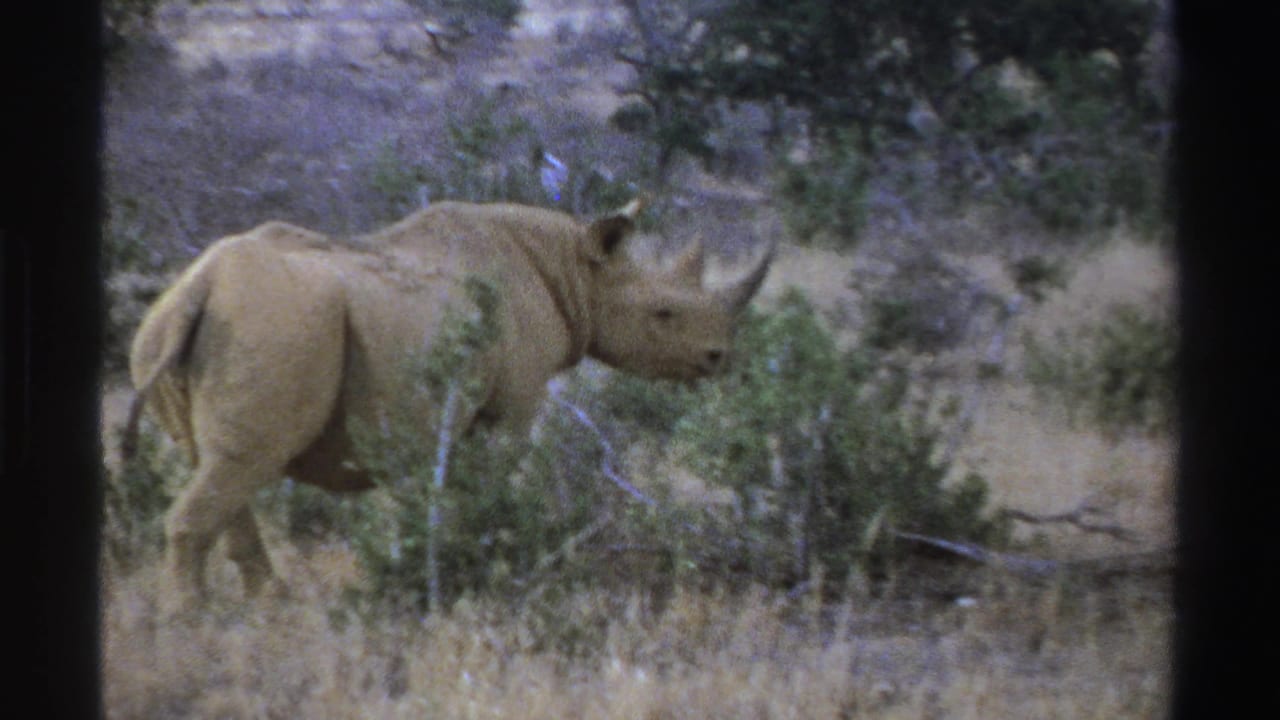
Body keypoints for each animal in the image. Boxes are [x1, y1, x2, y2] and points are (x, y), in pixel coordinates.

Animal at [123, 199, 773, 610]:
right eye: (664, 314)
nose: (719, 357)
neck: (576, 267)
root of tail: (200, 288)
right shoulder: (514, 402)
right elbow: (496, 477)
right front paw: (490, 559)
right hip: (275, 322)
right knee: (241, 467)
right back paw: (191, 627)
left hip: (174, 330)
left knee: (220, 467)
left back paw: (267, 608)